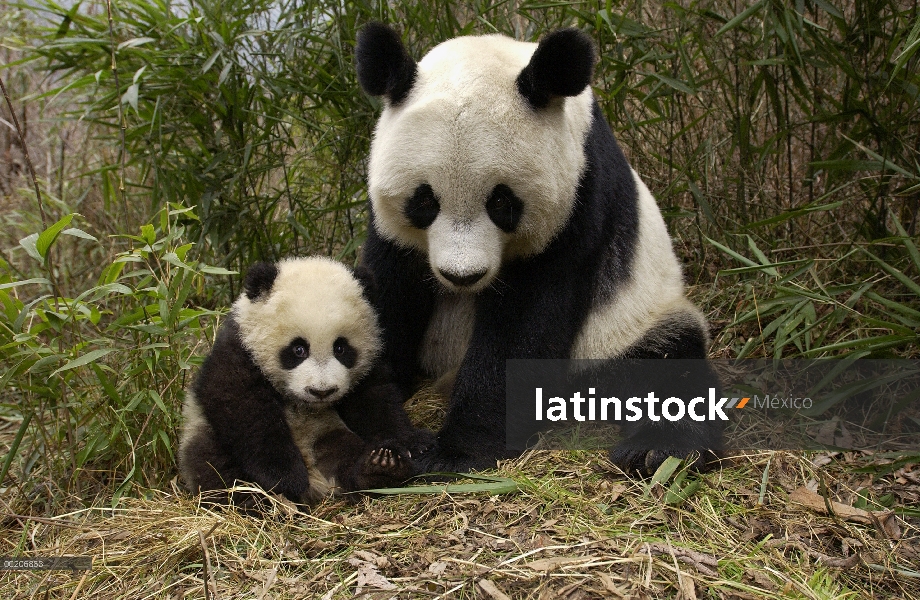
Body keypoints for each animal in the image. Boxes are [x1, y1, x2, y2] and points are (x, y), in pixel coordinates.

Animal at [179, 258, 424, 506]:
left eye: (340, 348)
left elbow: (377, 403)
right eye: (298, 349)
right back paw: (257, 502)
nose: (322, 391)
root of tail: (317, 484)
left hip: (327, 434)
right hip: (202, 432)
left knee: (346, 453)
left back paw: (379, 468)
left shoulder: (368, 367)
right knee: (214, 465)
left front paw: (400, 451)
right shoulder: (238, 351)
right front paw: (285, 476)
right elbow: (242, 407)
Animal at [348, 22, 724, 474]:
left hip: (628, 323)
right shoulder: (390, 231)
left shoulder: (579, 200)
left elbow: (526, 324)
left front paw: (454, 452)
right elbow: (387, 294)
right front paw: (385, 433)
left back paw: (657, 450)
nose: (462, 276)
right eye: (424, 202)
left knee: (667, 364)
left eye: (501, 203)